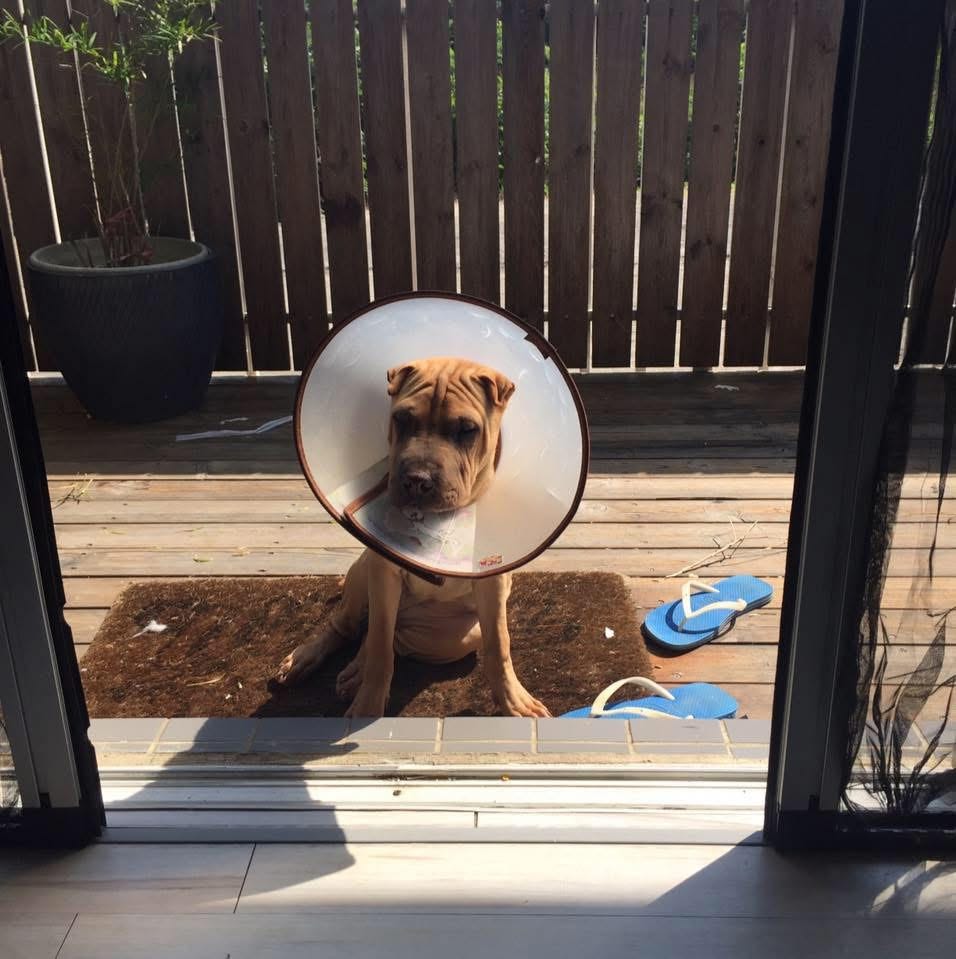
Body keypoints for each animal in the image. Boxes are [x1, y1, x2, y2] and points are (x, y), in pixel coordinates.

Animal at [276, 356, 550, 718]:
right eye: (402, 419)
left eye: (467, 429)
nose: (417, 480)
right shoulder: (382, 572)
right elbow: (379, 649)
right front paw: (367, 707)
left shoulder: (492, 586)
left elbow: (499, 645)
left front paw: (513, 701)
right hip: (362, 574)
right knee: (353, 627)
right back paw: (309, 659)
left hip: (457, 636)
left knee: (390, 636)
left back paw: (354, 672)